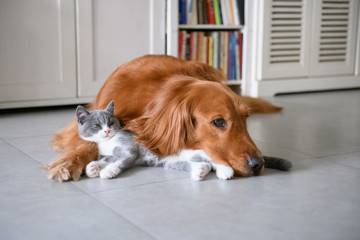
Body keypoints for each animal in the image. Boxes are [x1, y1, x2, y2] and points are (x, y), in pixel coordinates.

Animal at [75, 101, 231, 180]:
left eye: (111, 123)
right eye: (96, 125)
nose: (107, 131)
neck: (108, 142)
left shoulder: (129, 147)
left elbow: (119, 160)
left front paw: (108, 171)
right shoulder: (109, 153)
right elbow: (107, 158)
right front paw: (92, 167)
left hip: (193, 152)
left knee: (212, 160)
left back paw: (225, 171)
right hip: (171, 162)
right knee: (200, 164)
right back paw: (201, 170)